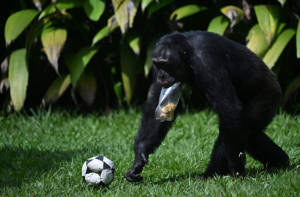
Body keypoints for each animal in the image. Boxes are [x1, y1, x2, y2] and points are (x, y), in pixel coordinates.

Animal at [123, 30, 288, 182]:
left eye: (166, 65)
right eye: (158, 64)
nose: (162, 75)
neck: (189, 53)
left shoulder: (207, 63)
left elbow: (228, 109)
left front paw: (236, 169)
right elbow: (156, 108)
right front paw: (139, 157)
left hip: (266, 97)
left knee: (234, 127)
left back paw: (211, 173)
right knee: (251, 135)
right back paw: (279, 162)